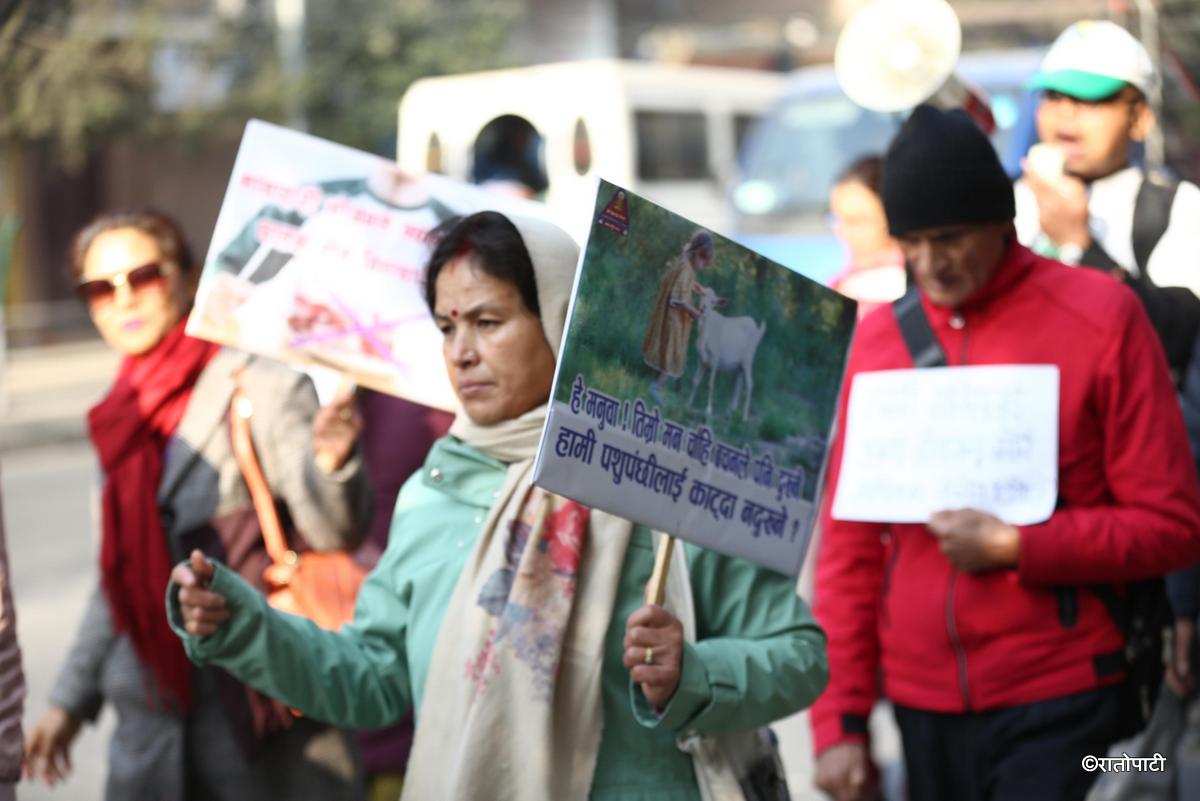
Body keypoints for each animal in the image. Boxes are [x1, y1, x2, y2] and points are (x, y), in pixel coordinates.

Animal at [691, 284, 763, 419]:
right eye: (702, 294)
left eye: (713, 302)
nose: (703, 308)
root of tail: (758, 329)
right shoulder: (701, 359)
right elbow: (695, 381)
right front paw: (688, 404)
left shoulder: (715, 357)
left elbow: (710, 384)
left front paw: (708, 411)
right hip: (739, 366)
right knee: (738, 385)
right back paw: (730, 411)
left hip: (748, 358)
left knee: (750, 384)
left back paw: (744, 416)